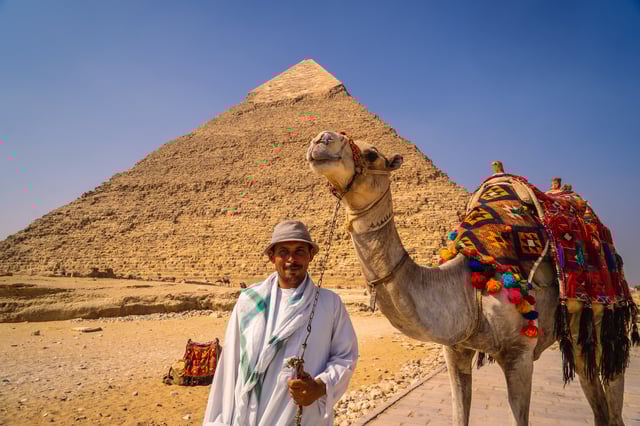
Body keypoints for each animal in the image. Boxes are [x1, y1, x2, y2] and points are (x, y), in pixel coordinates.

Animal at [306, 130, 634, 426]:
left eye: (372, 153)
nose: (321, 139)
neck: (466, 284)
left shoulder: (519, 355)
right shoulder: (454, 350)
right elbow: (458, 414)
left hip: (606, 321)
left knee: (613, 394)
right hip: (578, 335)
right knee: (595, 396)